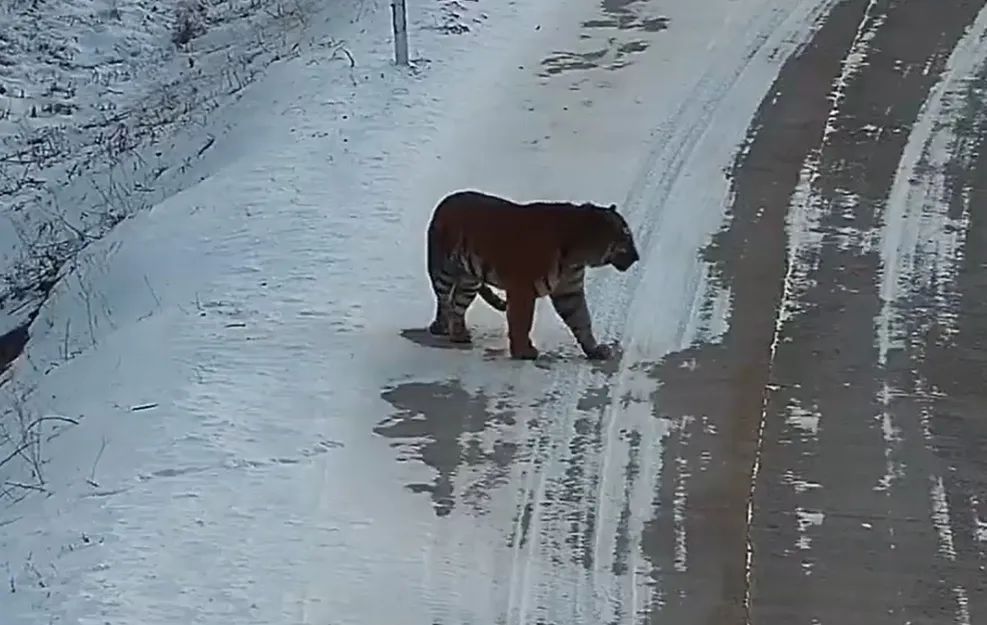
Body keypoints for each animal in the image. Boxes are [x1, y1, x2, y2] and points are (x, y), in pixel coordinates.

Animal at [424, 188, 640, 358]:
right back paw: (440, 327)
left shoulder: (569, 291)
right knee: (444, 299)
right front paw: (523, 351)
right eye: (627, 235)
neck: (579, 255)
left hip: (470, 281)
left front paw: (594, 350)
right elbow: (522, 321)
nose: (637, 257)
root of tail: (444, 201)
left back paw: (458, 334)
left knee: (457, 304)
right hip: (443, 271)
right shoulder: (523, 289)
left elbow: (582, 320)